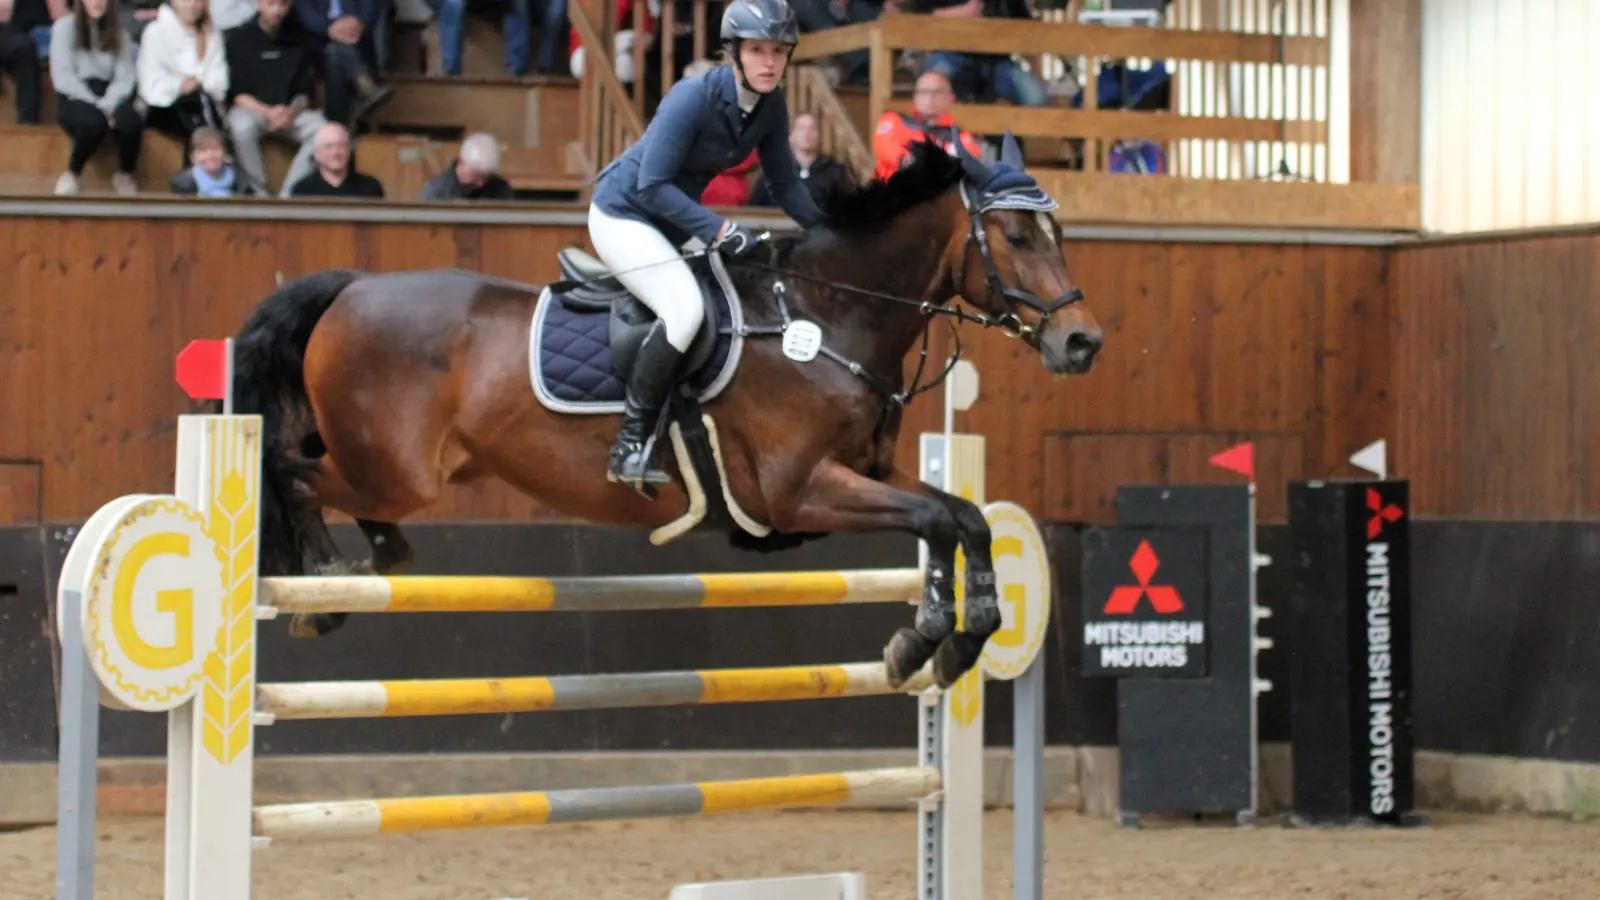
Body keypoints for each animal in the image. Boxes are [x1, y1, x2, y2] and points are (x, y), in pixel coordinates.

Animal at [225, 131, 1100, 685]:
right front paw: (922, 641)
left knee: (321, 480)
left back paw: (372, 561)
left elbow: (965, 517)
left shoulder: (867, 475)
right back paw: (324, 589)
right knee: (291, 472)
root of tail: (352, 286)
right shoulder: (798, 492)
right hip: (393, 468)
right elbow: (935, 522)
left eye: (1054, 233)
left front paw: (961, 635)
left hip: (391, 464)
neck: (830, 315)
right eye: (1017, 236)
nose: (1082, 342)